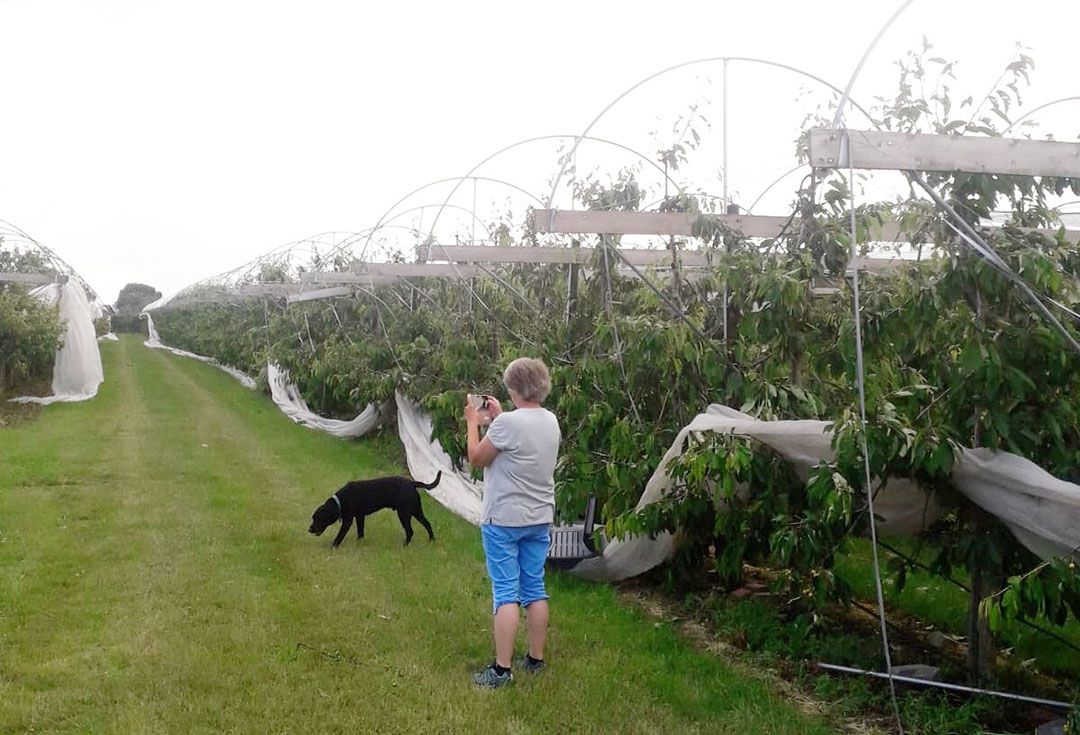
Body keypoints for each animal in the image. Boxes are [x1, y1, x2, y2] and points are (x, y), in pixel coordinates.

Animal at [308, 472, 438, 548]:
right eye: (313, 518)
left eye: (318, 518)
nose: (309, 529)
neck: (340, 501)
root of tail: (412, 483)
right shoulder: (359, 517)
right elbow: (360, 532)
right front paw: (359, 543)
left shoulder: (348, 521)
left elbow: (340, 536)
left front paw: (333, 547)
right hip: (415, 511)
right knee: (427, 524)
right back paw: (431, 541)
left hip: (404, 513)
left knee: (411, 531)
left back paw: (405, 545)